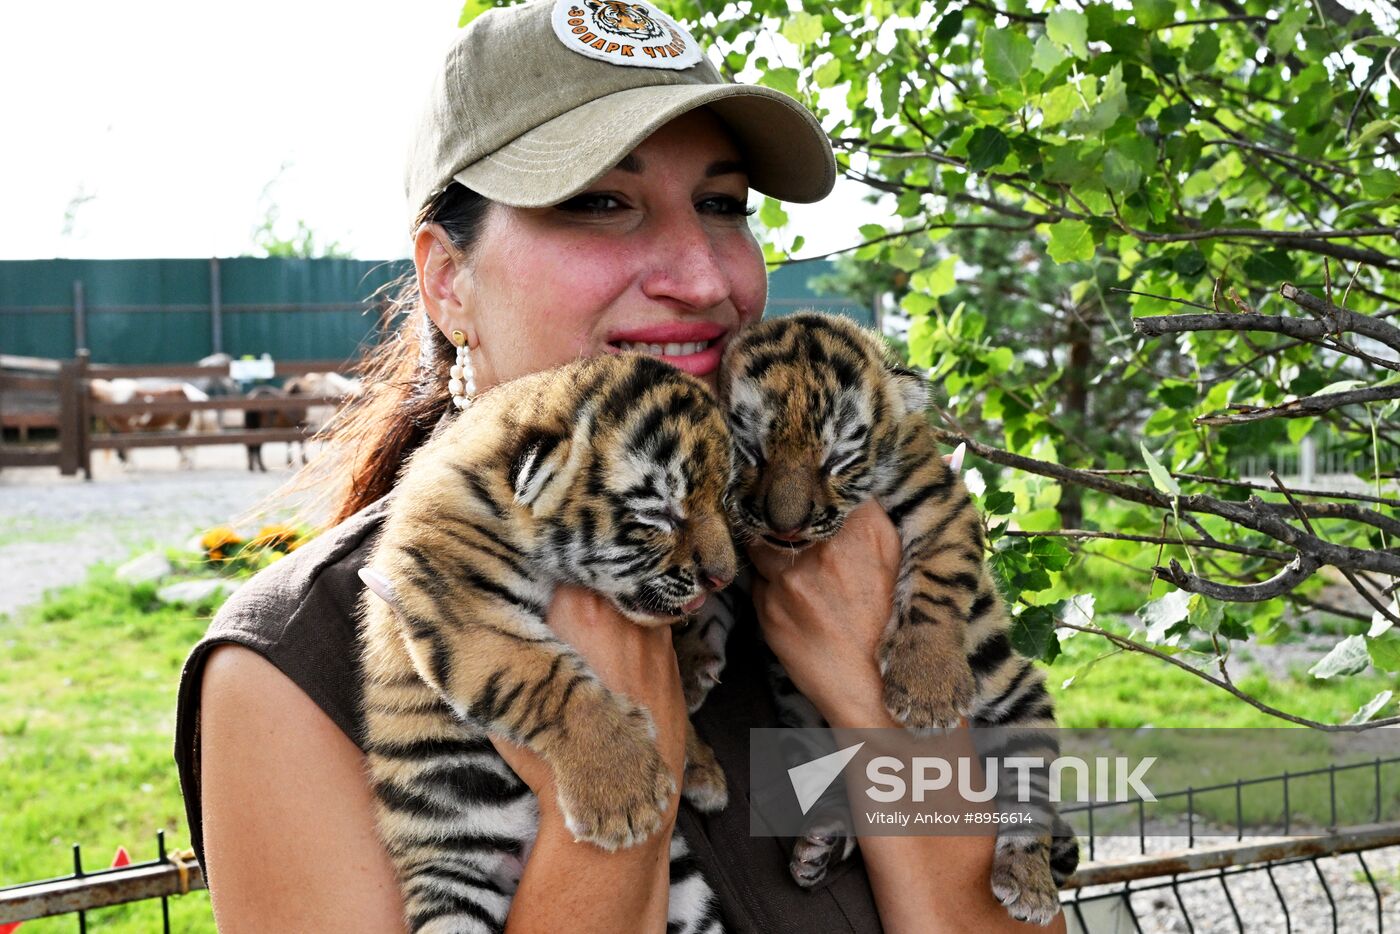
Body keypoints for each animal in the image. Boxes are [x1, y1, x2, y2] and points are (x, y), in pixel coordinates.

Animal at [357, 352, 735, 933]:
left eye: (725, 498)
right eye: (659, 516)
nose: (724, 577)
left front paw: (702, 768)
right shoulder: (466, 609)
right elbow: (550, 680)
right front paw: (623, 795)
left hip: (688, 896)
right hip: (452, 879)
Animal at [685, 311, 1080, 926]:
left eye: (836, 459)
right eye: (751, 449)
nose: (785, 528)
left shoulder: (939, 499)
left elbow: (936, 578)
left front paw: (926, 690)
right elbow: (712, 602)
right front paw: (691, 665)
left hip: (1021, 700)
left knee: (1029, 798)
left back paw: (1029, 882)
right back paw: (822, 846)